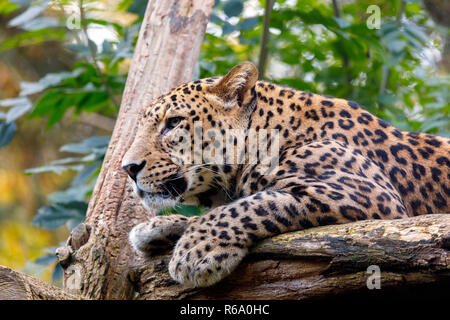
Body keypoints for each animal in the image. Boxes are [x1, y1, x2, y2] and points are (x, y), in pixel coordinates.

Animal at [123, 61, 450, 288]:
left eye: (173, 123)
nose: (128, 168)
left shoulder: (371, 196)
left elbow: (252, 204)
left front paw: (196, 250)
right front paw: (156, 228)